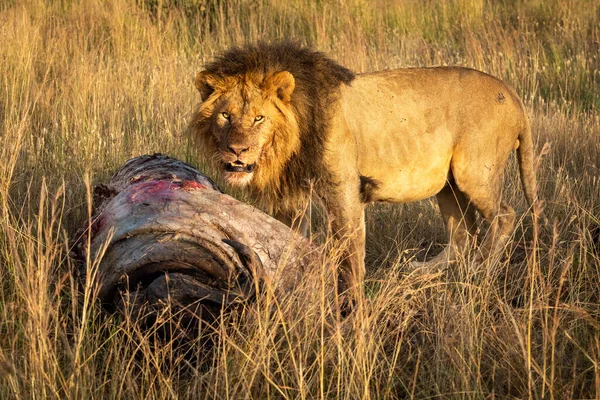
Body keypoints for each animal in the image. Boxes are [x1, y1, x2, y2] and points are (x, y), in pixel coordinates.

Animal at [188, 43, 536, 294]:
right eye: (226, 116)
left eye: (259, 118)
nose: (237, 150)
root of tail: (514, 96)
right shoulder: (293, 198)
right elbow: (288, 242)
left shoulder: (343, 190)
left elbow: (350, 252)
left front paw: (351, 301)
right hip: (447, 184)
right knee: (463, 233)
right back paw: (422, 272)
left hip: (473, 174)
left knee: (504, 216)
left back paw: (481, 271)